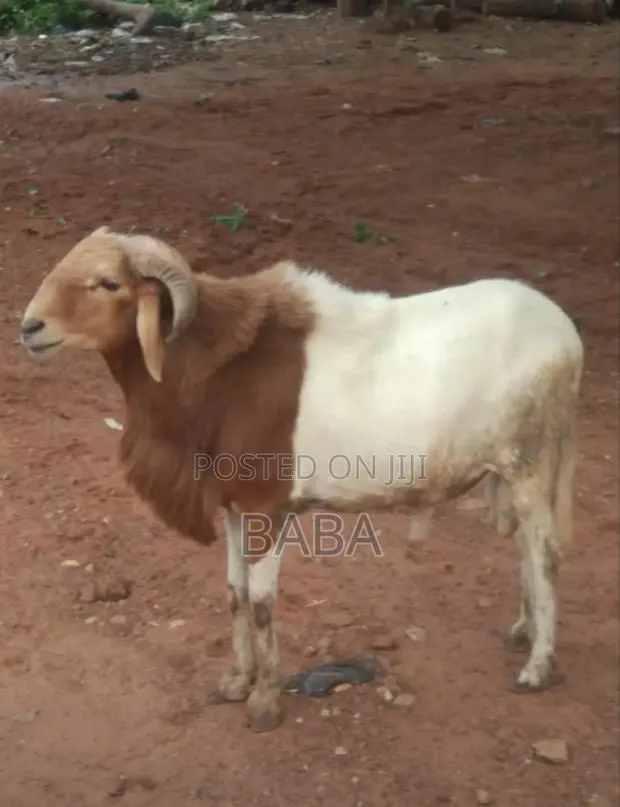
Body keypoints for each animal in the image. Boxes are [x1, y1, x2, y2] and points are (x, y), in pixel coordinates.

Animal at [19, 225, 584, 733]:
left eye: (108, 283)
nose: (29, 328)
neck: (220, 373)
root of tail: (568, 338)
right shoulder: (234, 508)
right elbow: (235, 592)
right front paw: (236, 682)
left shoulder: (267, 509)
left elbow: (262, 604)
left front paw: (265, 703)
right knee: (526, 552)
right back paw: (521, 631)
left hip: (530, 466)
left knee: (546, 557)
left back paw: (536, 667)